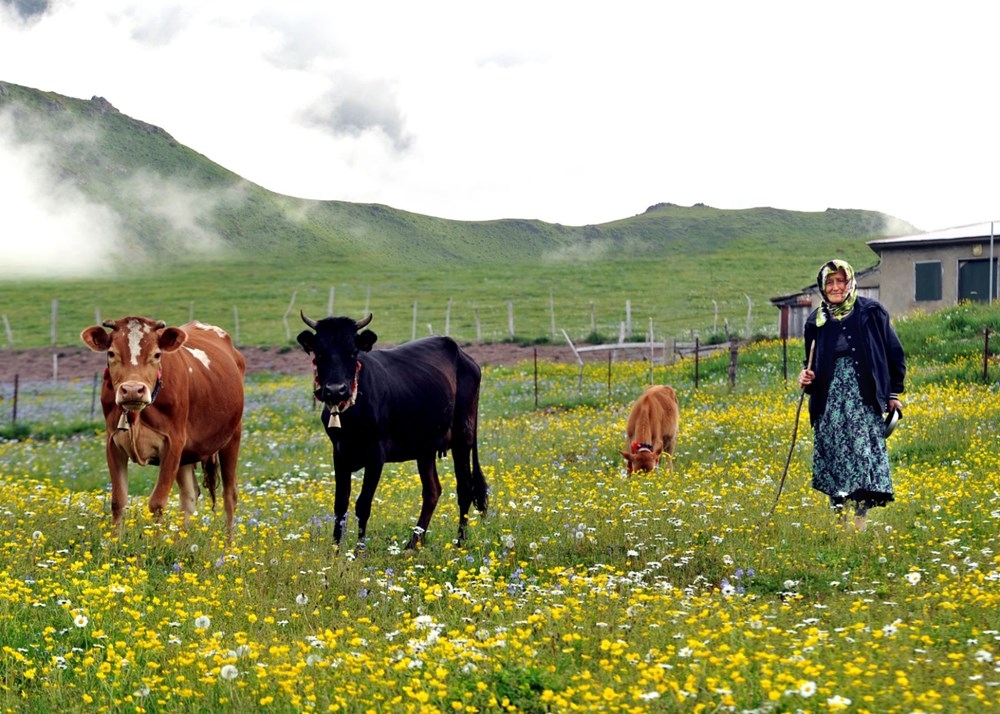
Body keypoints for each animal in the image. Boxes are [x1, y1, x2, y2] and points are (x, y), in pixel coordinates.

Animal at [80, 318, 246, 536]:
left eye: (157, 354)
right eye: (111, 353)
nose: (132, 390)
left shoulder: (172, 443)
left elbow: (157, 503)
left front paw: (155, 543)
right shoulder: (113, 444)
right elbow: (118, 502)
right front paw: (113, 542)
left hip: (232, 436)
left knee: (229, 495)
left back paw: (228, 543)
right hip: (187, 455)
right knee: (189, 496)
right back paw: (180, 541)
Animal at [296, 308, 488, 548]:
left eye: (353, 352)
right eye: (320, 353)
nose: (335, 390)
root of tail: (462, 354)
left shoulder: (376, 454)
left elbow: (363, 505)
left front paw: (358, 552)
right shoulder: (339, 453)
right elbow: (340, 504)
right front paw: (336, 550)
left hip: (463, 436)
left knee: (464, 488)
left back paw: (459, 542)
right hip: (425, 448)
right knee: (432, 491)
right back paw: (413, 544)